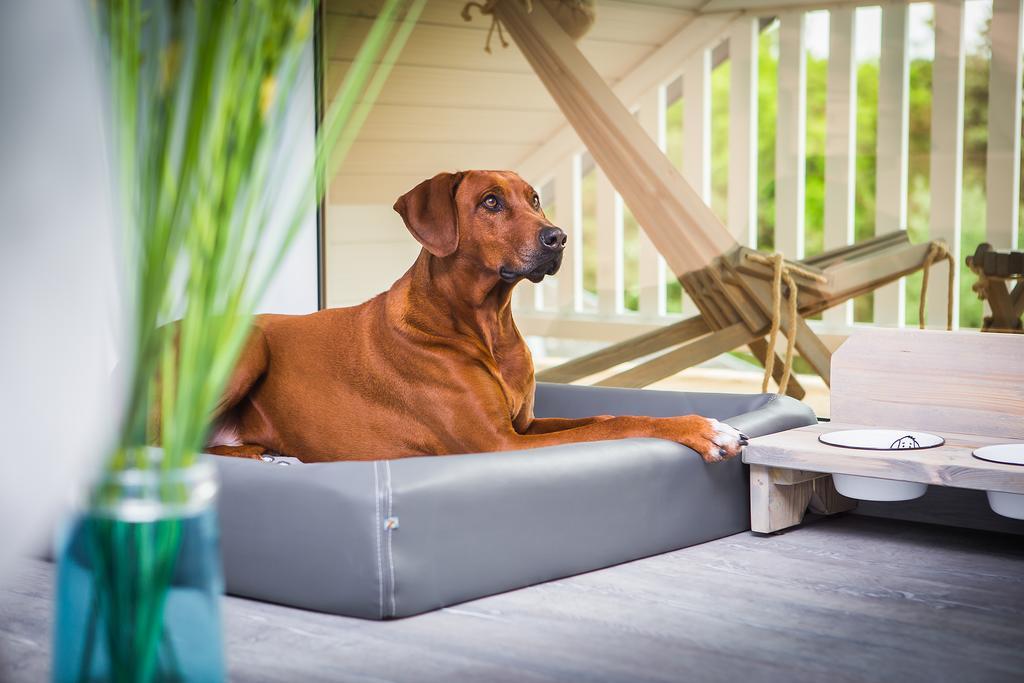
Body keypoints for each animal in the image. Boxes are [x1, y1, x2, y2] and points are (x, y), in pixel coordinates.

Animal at [207, 169, 749, 464]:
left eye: (534, 199)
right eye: (490, 202)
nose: (558, 237)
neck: (487, 324)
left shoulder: (523, 427)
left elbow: (608, 415)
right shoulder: (499, 444)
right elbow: (614, 427)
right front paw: (702, 429)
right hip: (247, 346)